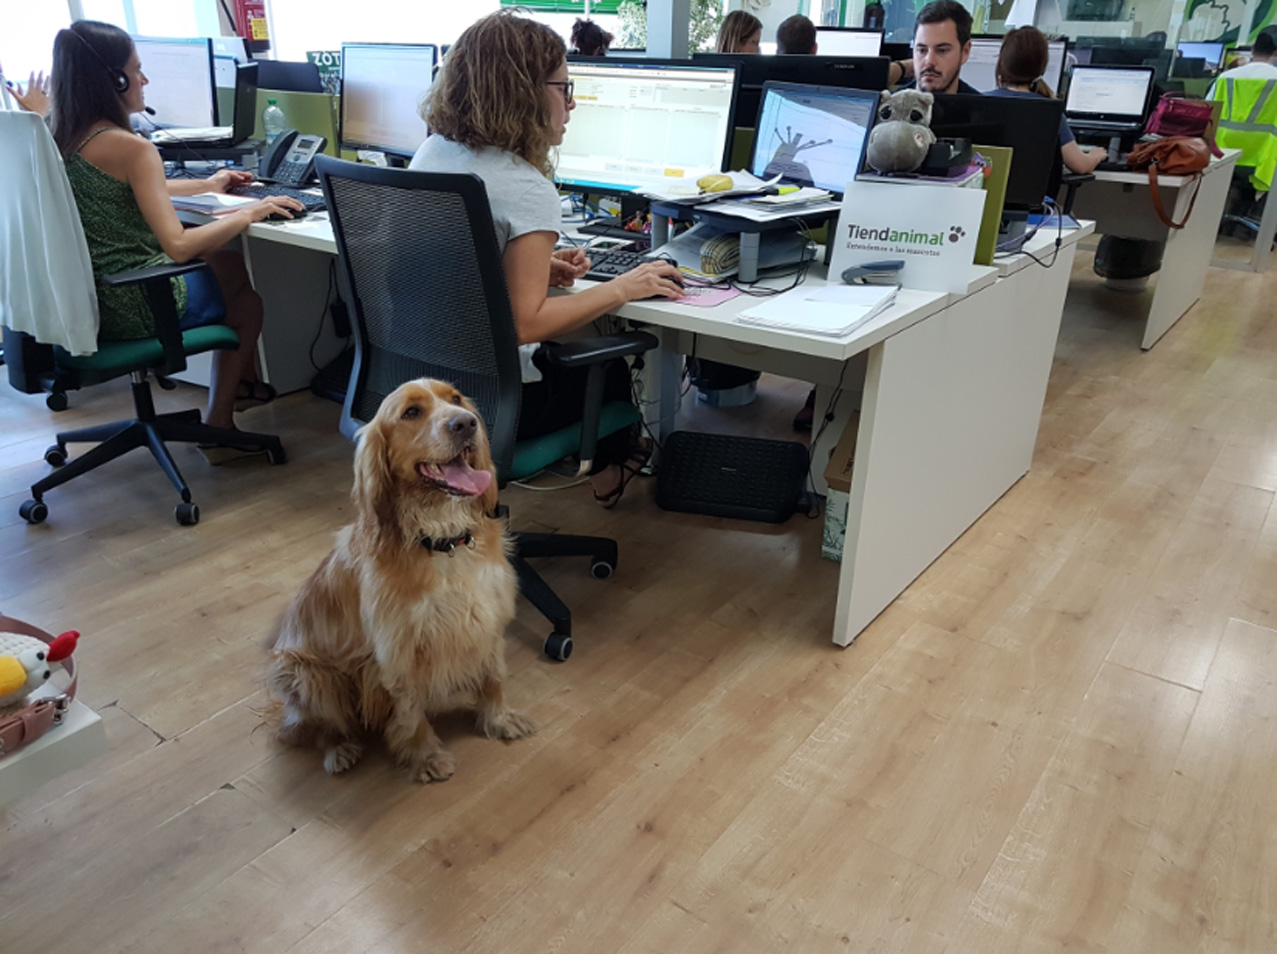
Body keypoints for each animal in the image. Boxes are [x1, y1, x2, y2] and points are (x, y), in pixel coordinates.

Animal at [264, 378, 533, 781]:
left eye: (456, 398)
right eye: (411, 412)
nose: (465, 423)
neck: (441, 541)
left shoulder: (487, 619)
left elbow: (493, 678)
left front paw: (499, 719)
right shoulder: (400, 650)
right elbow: (410, 713)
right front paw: (425, 756)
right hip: (306, 673)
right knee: (320, 725)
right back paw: (339, 750)